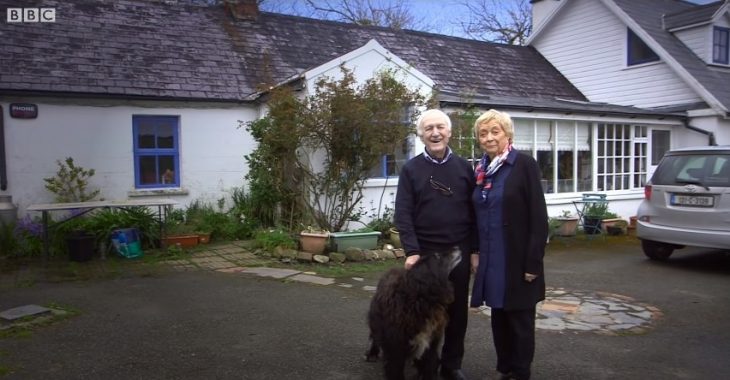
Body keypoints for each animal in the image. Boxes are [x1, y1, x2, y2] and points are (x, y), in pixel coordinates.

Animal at [364, 248, 460, 378]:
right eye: (437, 256)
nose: (457, 248)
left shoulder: (431, 343)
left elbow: (429, 366)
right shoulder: (395, 347)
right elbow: (395, 371)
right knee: (374, 335)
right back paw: (372, 353)